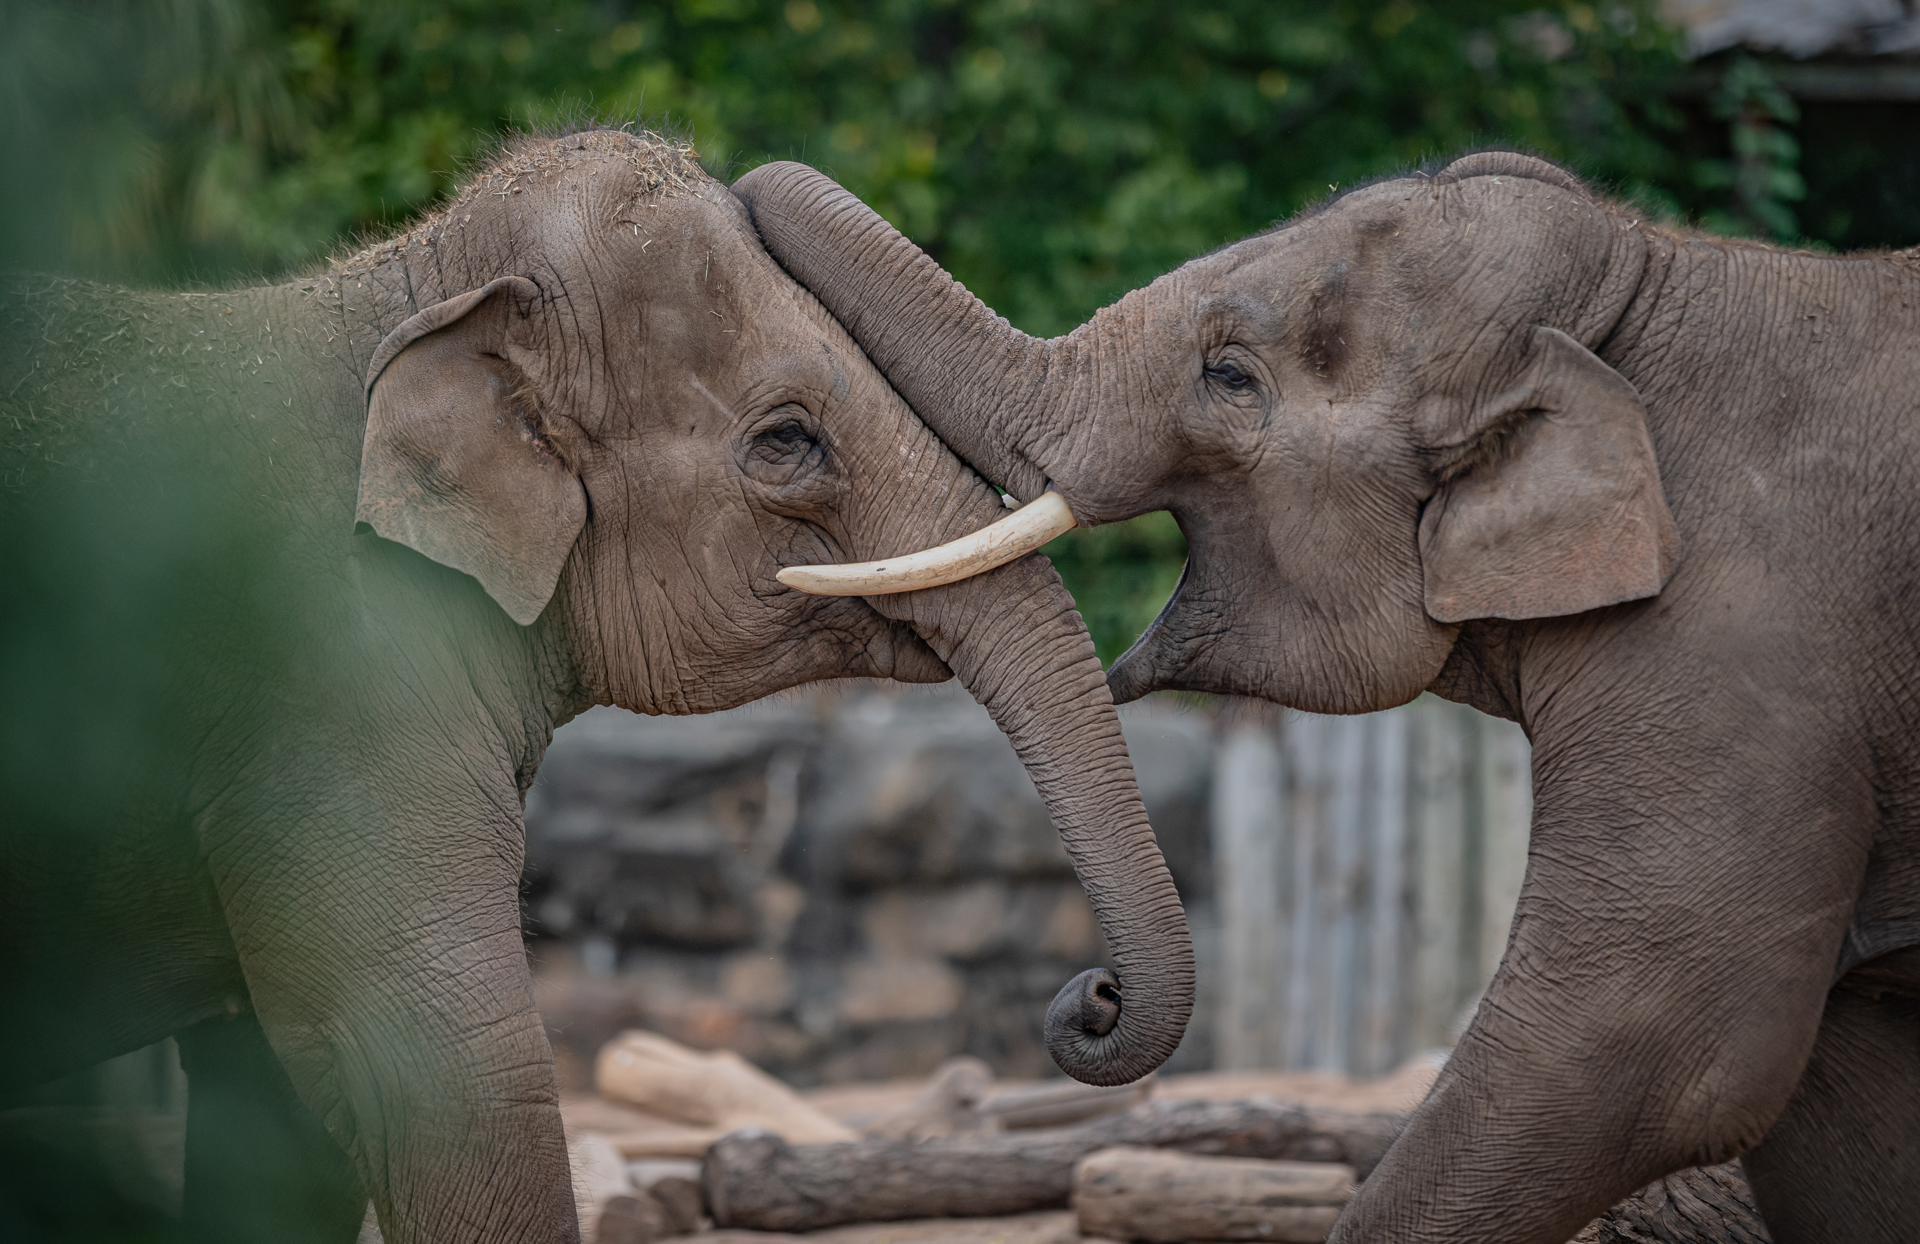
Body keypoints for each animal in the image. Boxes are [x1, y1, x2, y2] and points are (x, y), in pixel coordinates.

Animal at [734, 150, 1920, 1244]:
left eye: (1228, 375)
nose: (1094, 996)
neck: (1651, 276)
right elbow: (1835, 1092)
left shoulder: (1745, 626)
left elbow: (1656, 1042)